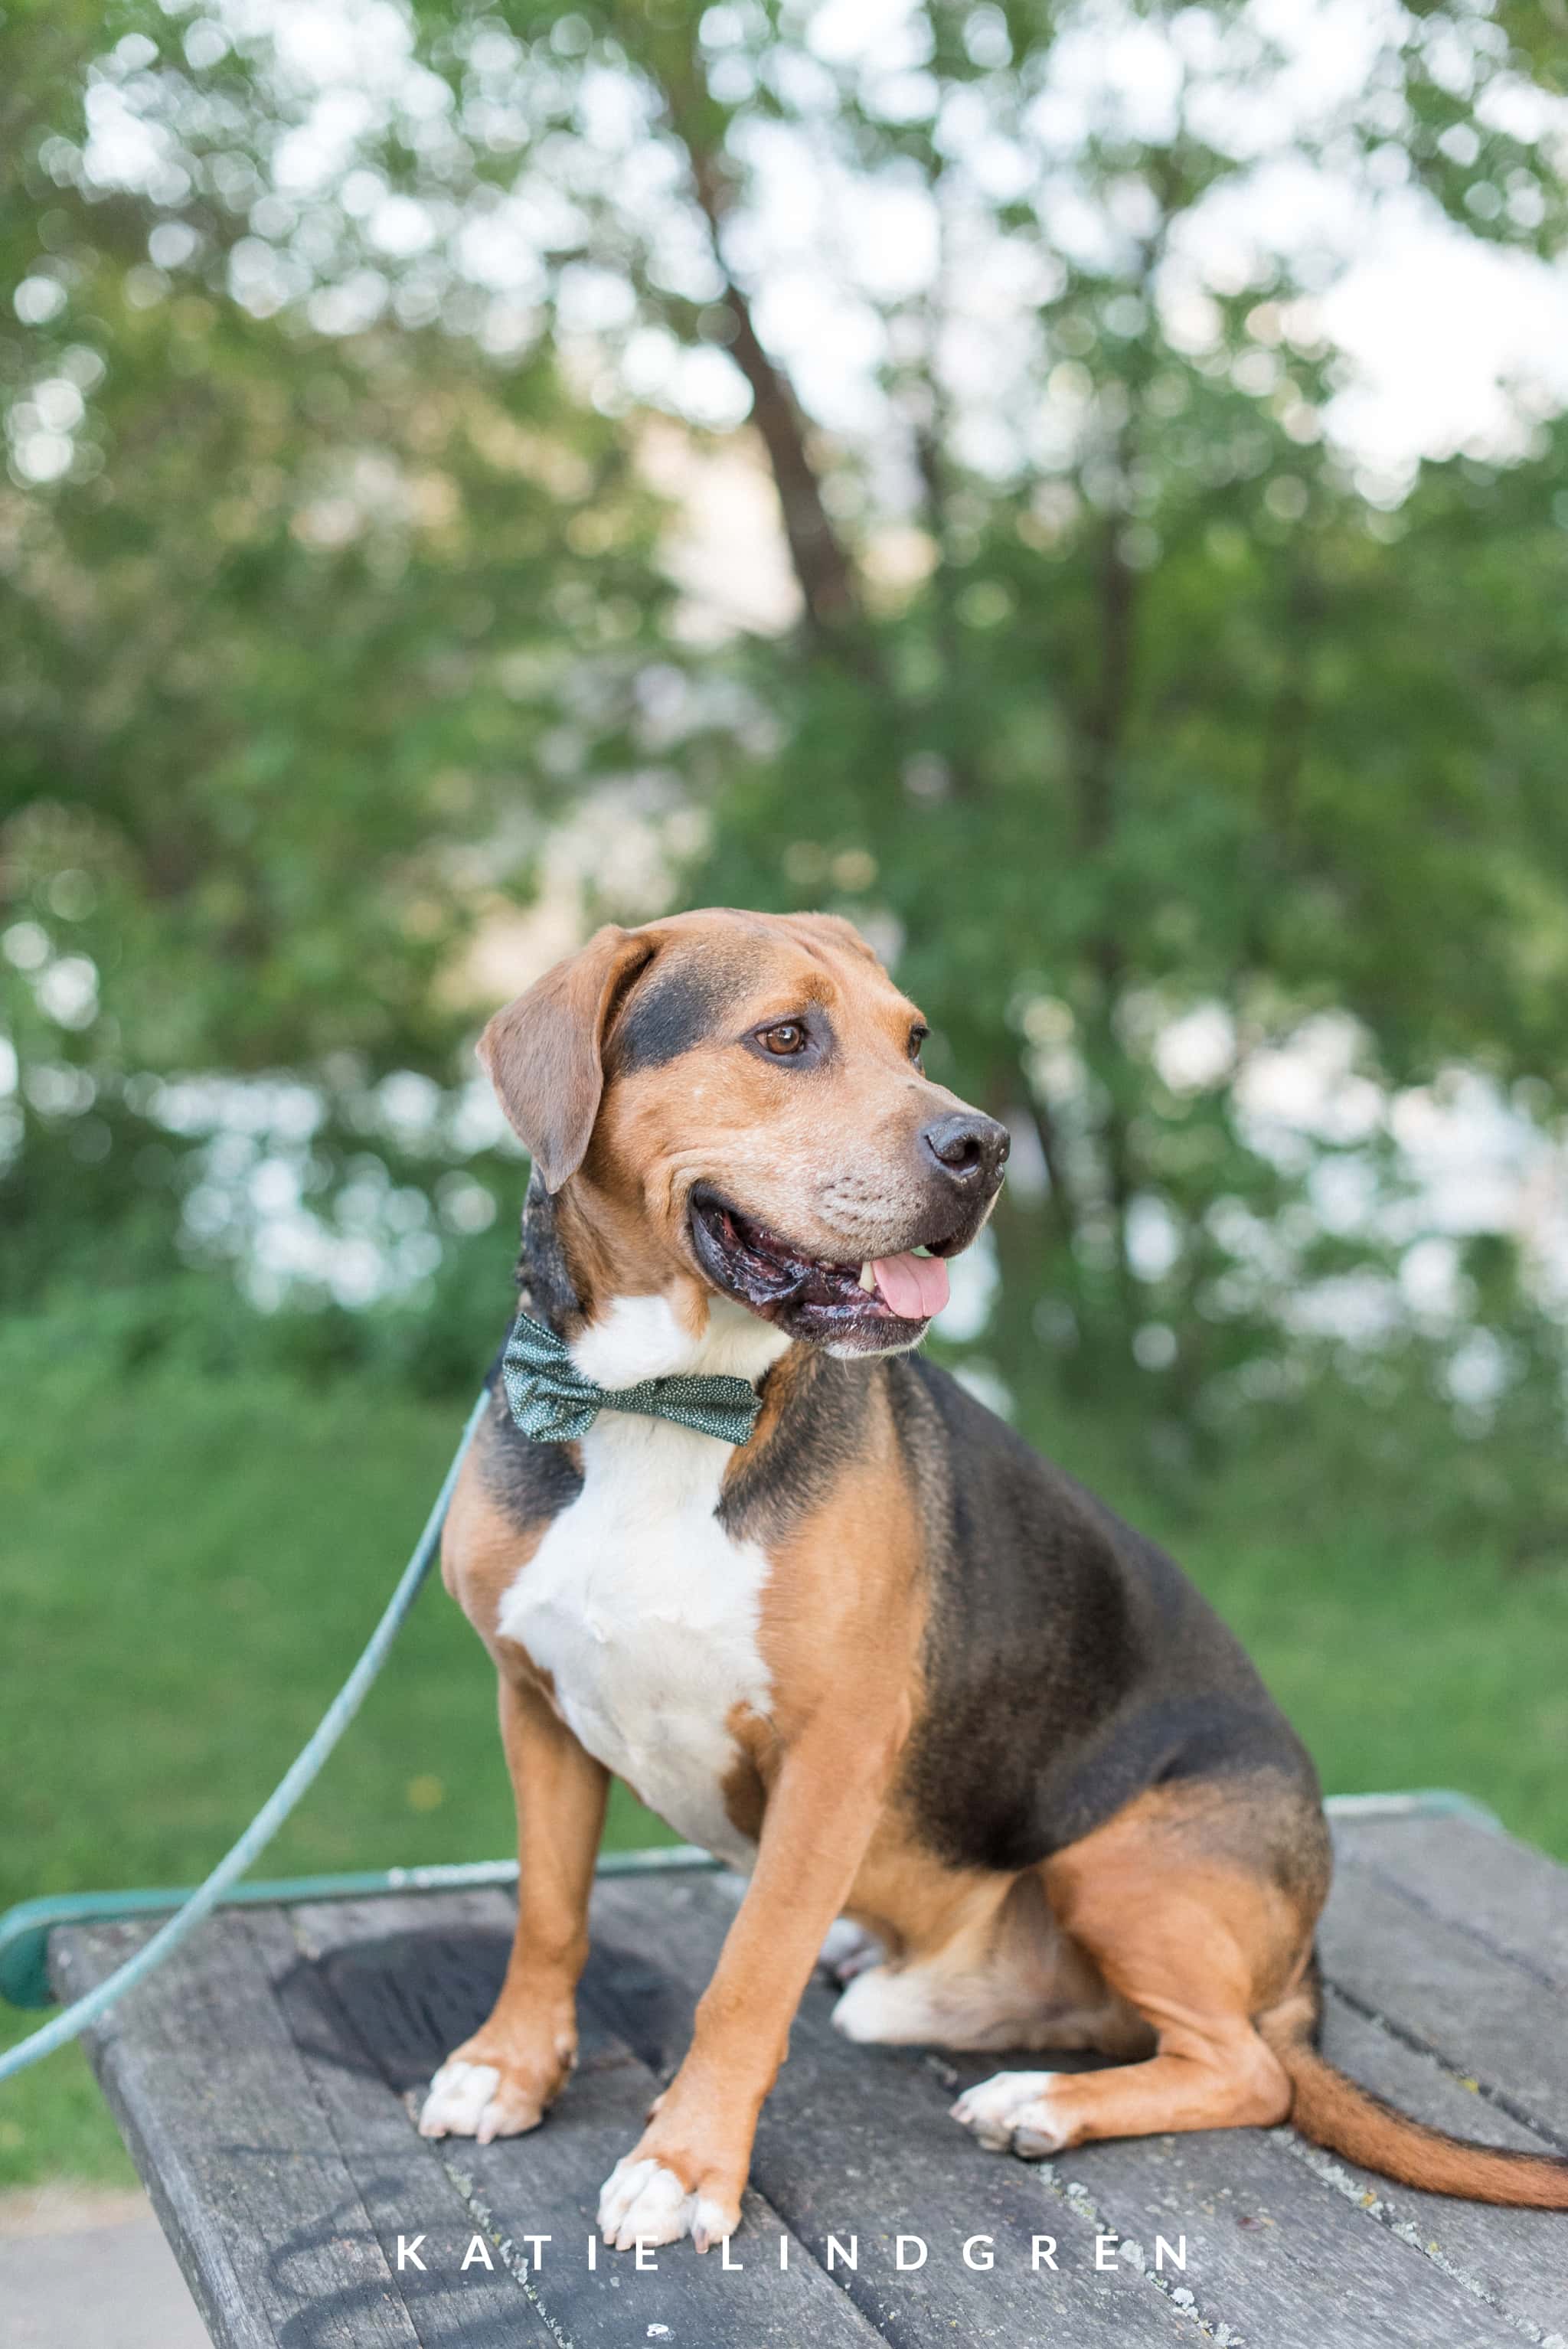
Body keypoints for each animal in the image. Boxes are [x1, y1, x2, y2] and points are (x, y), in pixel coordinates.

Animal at [415, 902, 1568, 2236]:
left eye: (914, 1038)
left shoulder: (832, 1751)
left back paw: (1044, 2104)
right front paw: (510, 2068)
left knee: (1248, 2069)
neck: (662, 1405)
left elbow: (746, 1974)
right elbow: (549, 1917)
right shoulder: (537, 1704)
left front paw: (687, 2163)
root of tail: (1299, 1972)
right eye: (785, 1037)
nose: (985, 1148)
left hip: (1120, 1867)